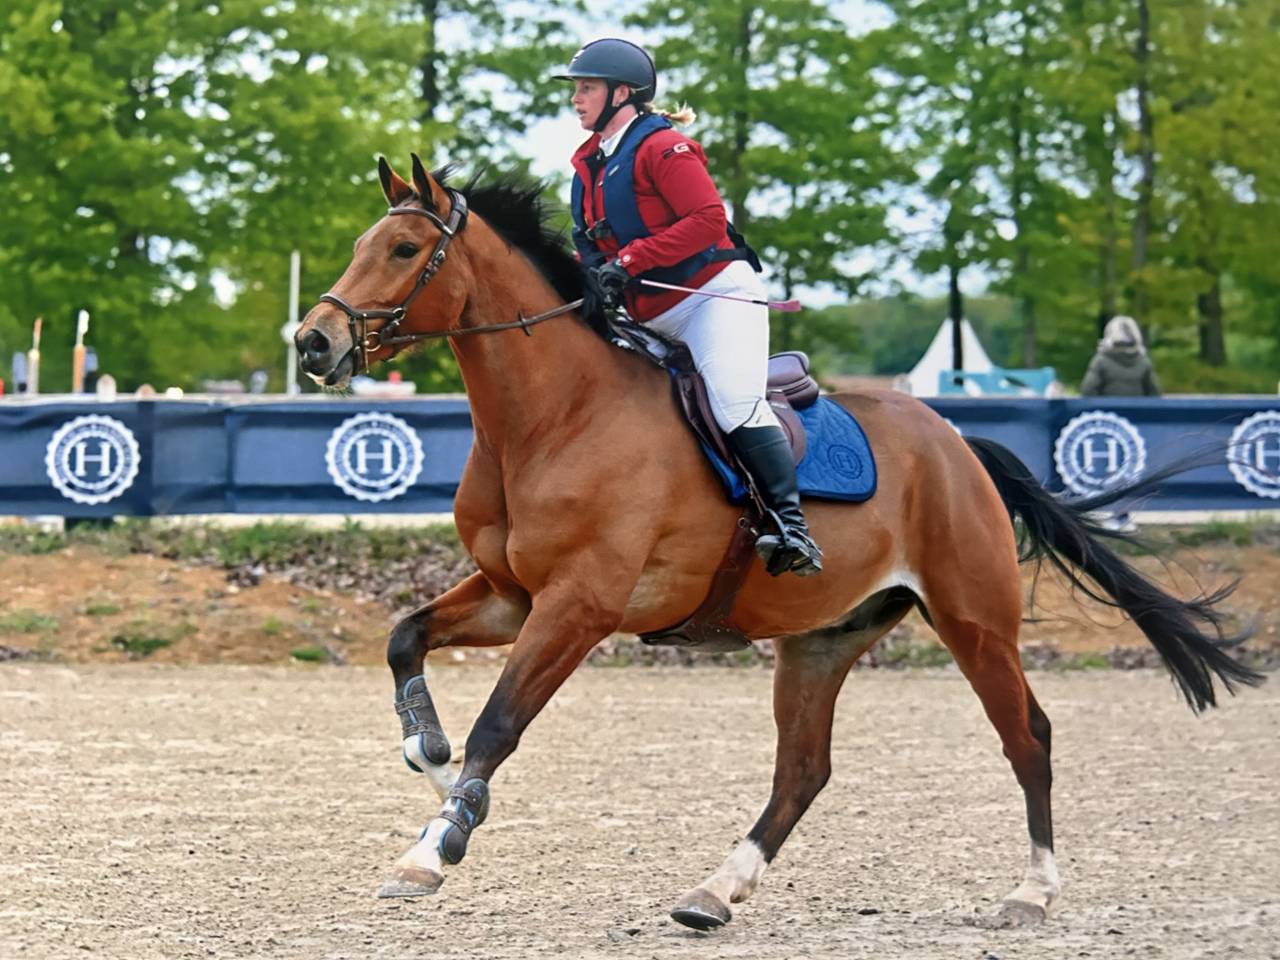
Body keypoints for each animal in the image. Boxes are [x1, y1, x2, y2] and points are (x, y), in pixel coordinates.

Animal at [294, 155, 1263, 931]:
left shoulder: (578, 606)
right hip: (823, 639)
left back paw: (1032, 893)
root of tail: (956, 441)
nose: (313, 341)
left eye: (404, 251)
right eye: (362, 243)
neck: (552, 415)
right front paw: (430, 758)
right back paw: (714, 892)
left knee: (1028, 736)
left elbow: (499, 724)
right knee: (803, 770)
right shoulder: (511, 594)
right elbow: (405, 639)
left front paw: (434, 847)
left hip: (975, 619)